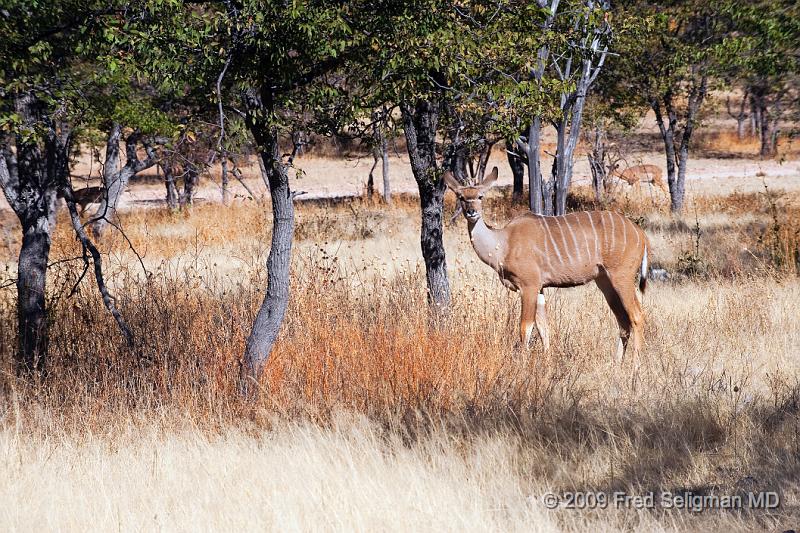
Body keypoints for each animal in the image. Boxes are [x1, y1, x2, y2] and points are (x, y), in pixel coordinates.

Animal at [444, 166, 648, 360]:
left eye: (480, 196)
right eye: (461, 197)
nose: (471, 212)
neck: (504, 242)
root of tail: (641, 234)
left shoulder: (529, 286)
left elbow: (525, 327)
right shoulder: (540, 288)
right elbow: (544, 328)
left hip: (622, 277)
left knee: (637, 316)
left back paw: (634, 366)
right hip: (604, 282)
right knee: (623, 320)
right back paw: (617, 363)